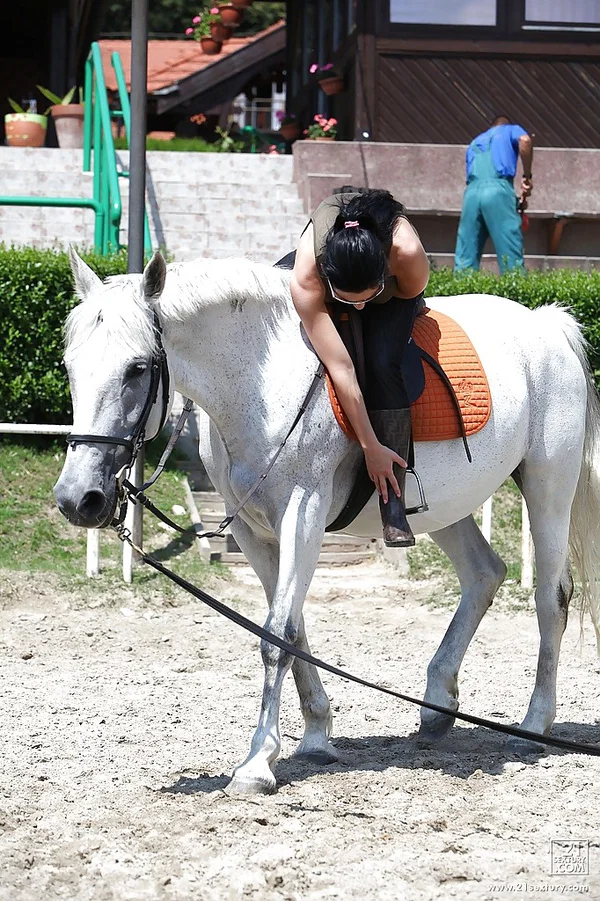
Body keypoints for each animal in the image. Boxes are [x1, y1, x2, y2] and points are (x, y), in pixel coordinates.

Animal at [54, 248, 600, 795]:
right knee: (484, 573)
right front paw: (315, 736)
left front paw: (256, 764)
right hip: (445, 506)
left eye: (137, 368)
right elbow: (290, 631)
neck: (261, 378)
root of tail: (546, 323)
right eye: (69, 366)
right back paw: (437, 706)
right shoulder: (251, 530)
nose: (79, 498)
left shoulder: (303, 512)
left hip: (548, 486)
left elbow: (275, 634)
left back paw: (534, 726)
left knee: (551, 596)